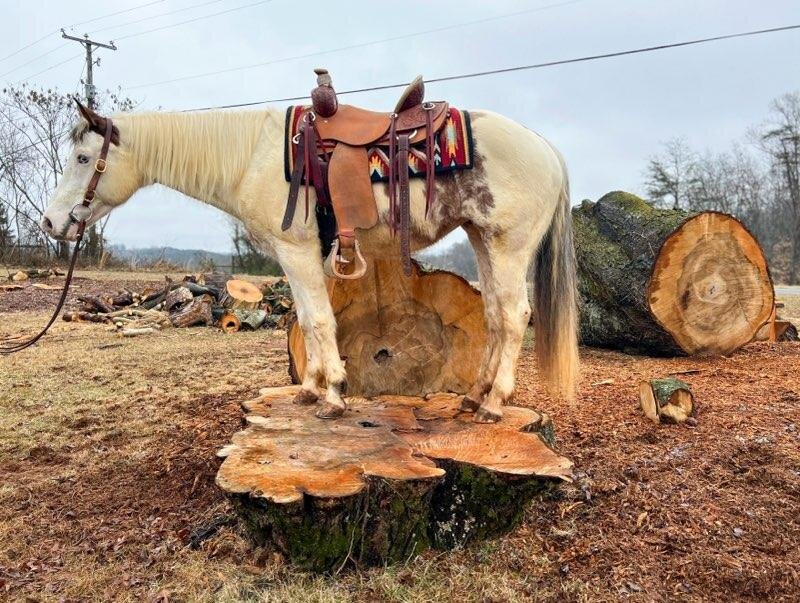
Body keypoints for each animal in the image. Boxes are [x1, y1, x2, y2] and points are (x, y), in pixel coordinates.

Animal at [40, 100, 578, 422]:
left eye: (84, 159)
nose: (50, 222)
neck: (251, 157)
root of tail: (548, 149)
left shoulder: (297, 251)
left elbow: (319, 320)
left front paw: (334, 395)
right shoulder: (296, 258)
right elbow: (307, 316)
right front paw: (312, 389)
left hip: (509, 246)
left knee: (514, 316)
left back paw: (494, 404)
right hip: (483, 241)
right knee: (494, 315)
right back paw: (474, 395)